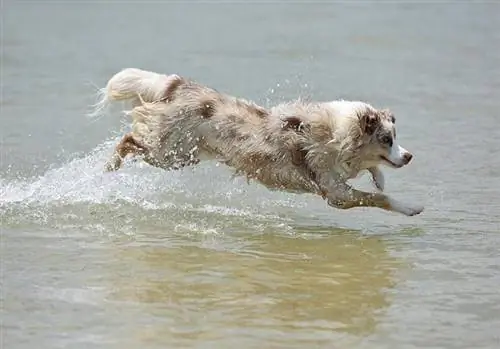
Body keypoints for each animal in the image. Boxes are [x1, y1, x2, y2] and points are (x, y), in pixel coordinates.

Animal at [89, 67, 422, 215]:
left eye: (395, 138)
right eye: (386, 139)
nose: (409, 156)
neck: (336, 134)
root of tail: (180, 85)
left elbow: (374, 177)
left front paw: (379, 178)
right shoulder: (336, 193)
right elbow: (378, 199)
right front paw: (410, 208)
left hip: (184, 155)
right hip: (171, 154)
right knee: (128, 139)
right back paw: (108, 167)